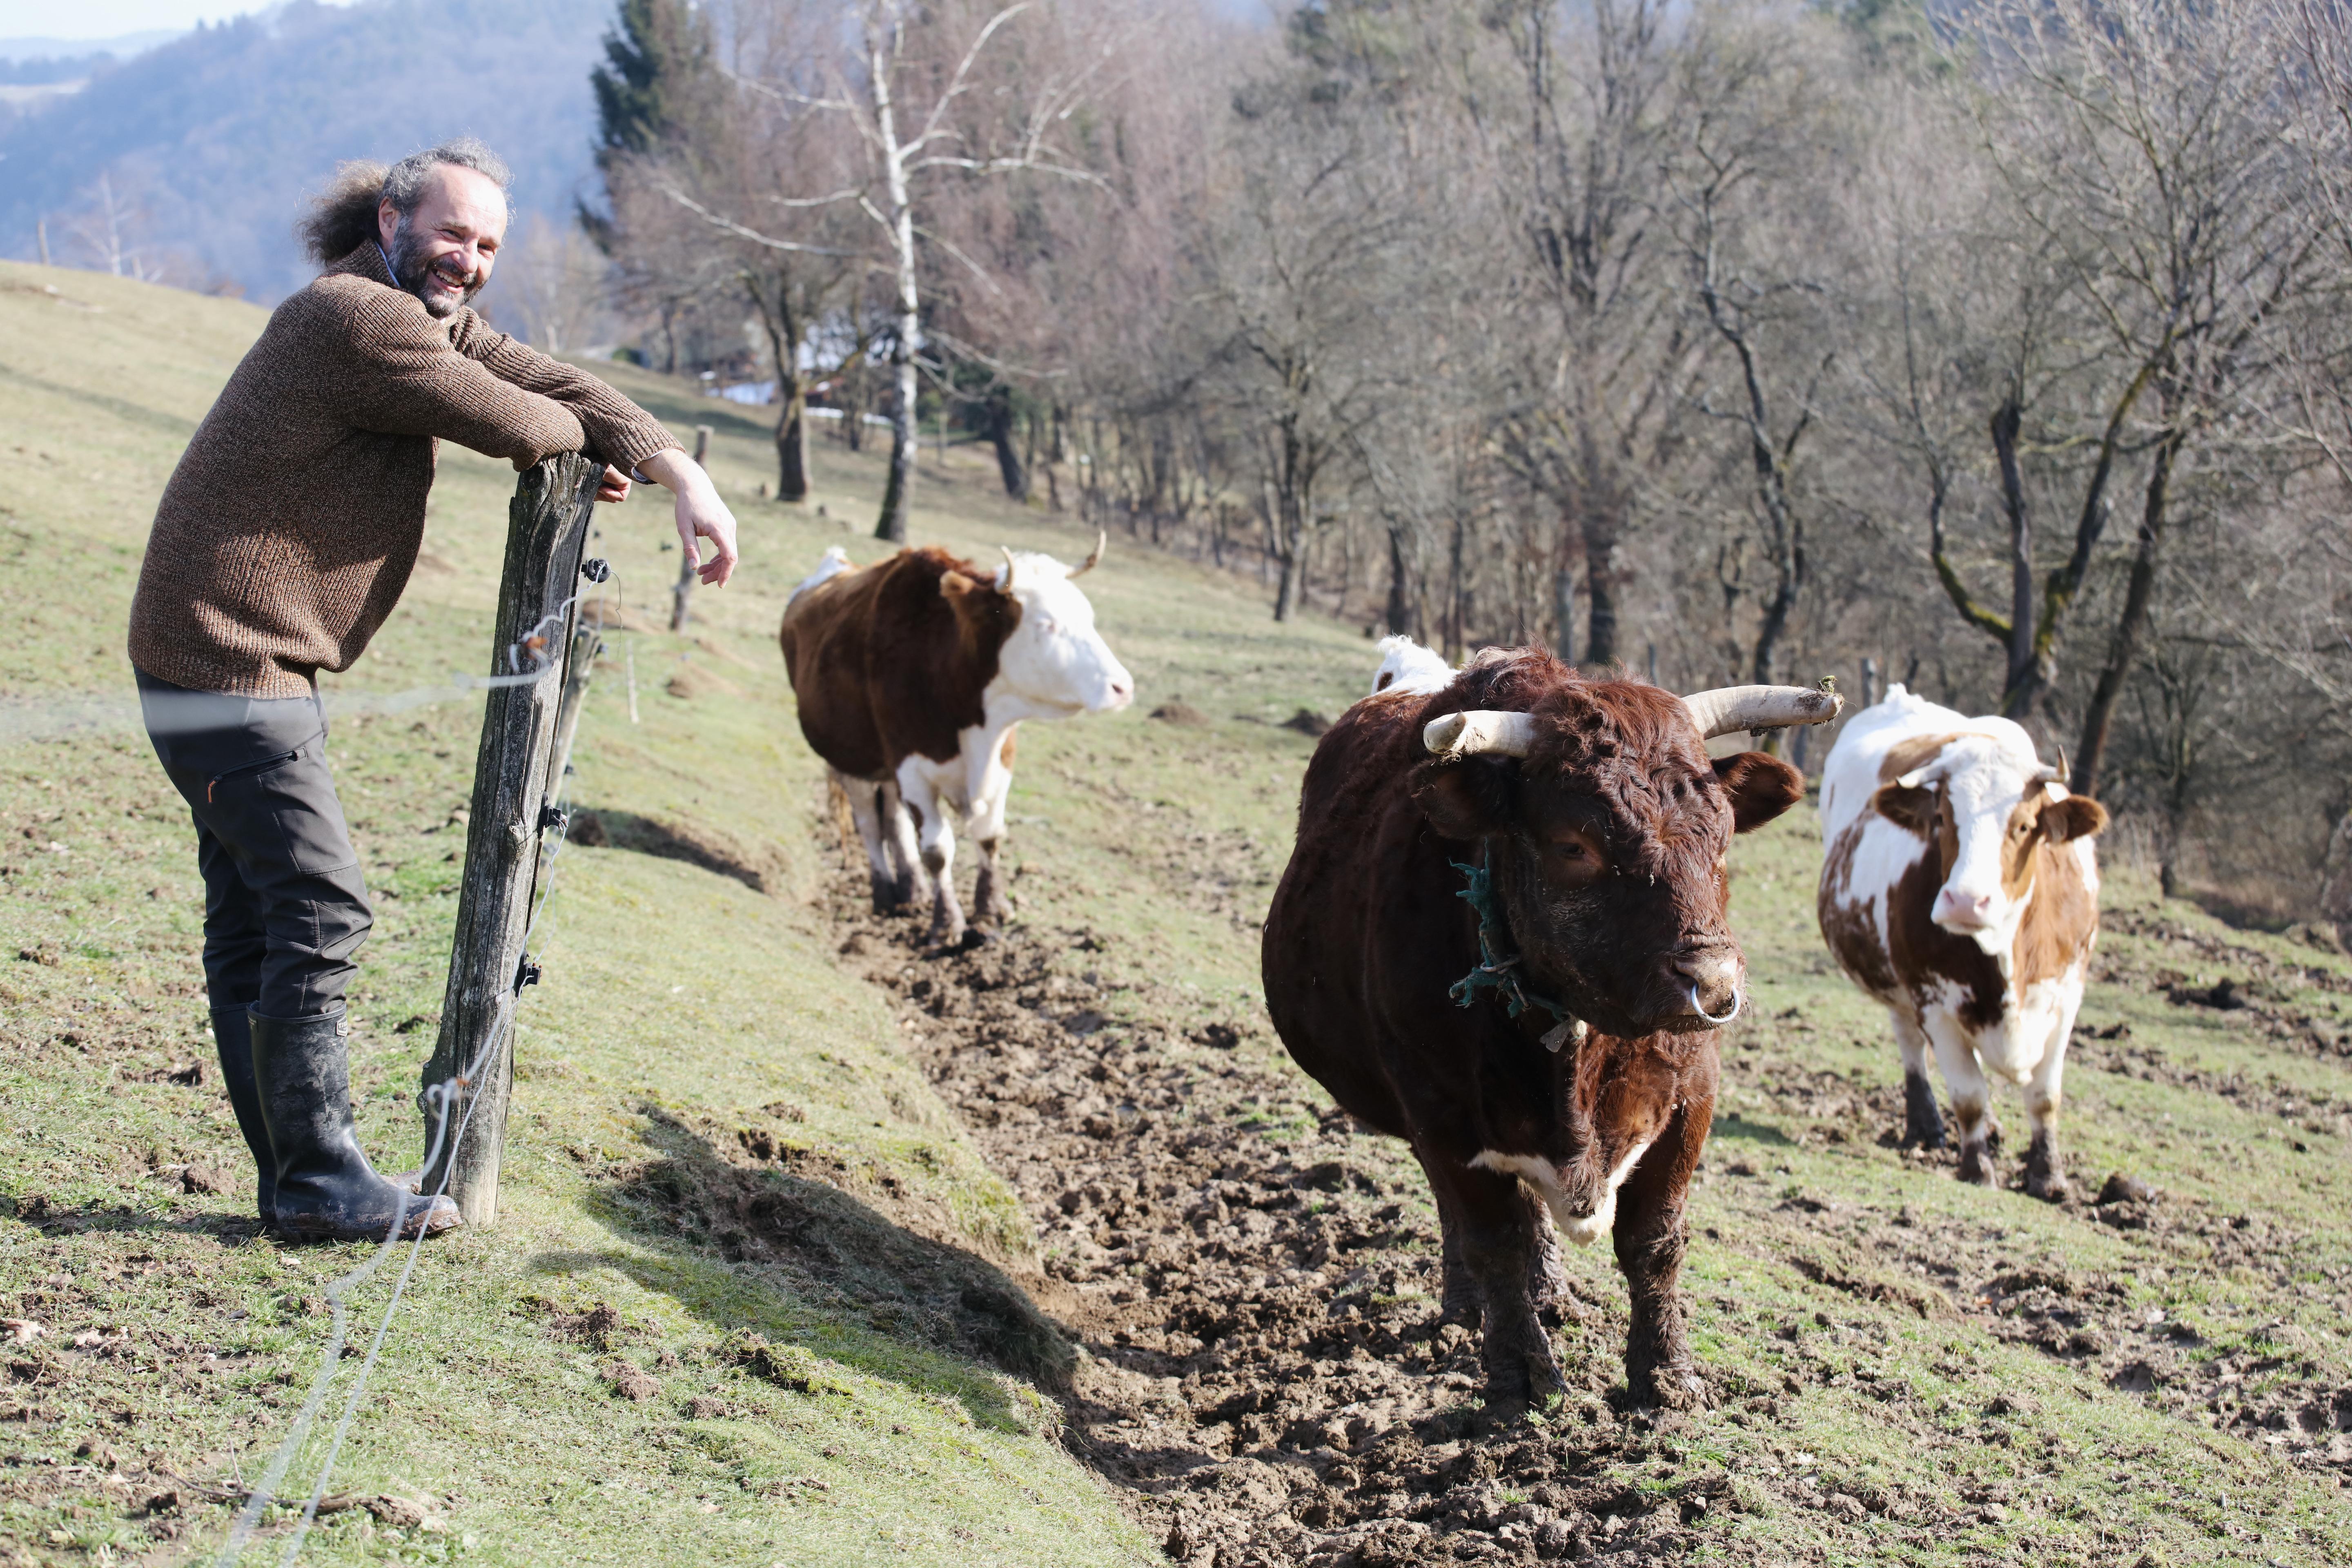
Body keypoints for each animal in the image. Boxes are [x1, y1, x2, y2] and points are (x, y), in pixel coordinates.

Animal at [781, 541, 1129, 945]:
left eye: (1089, 617)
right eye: (1046, 623)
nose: (1123, 687)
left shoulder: (1002, 760)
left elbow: (989, 835)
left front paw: (992, 907)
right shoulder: (912, 768)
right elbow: (937, 849)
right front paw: (947, 924)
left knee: (894, 821)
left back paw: (913, 890)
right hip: (853, 762)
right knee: (869, 823)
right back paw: (884, 894)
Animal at [1270, 648, 1834, 1410]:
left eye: (1722, 835)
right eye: (1575, 846)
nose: (1714, 983)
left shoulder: (1692, 1099)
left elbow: (1655, 1242)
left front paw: (1667, 1375)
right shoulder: (1441, 1113)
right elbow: (1491, 1239)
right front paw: (1519, 1372)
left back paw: (1553, 1295)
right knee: (1462, 1220)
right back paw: (1468, 1308)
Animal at [1815, 686, 2117, 1203]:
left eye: (2024, 825)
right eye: (1942, 818)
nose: (1965, 902)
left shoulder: (2066, 998)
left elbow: (2045, 1097)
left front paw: (2048, 1175)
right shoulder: (1934, 1001)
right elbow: (1969, 1097)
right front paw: (1977, 1167)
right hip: (1898, 986)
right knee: (1911, 1044)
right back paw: (1927, 1127)